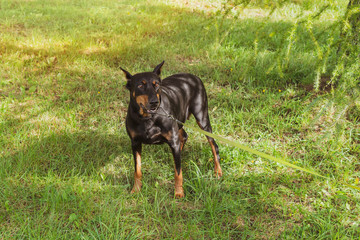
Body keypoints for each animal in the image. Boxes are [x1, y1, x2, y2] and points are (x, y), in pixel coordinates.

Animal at [121, 61, 222, 198]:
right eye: (140, 85)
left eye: (156, 85)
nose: (154, 102)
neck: (148, 118)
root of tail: (193, 76)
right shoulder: (135, 143)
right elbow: (137, 170)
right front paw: (136, 190)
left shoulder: (173, 140)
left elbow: (178, 173)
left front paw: (179, 192)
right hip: (179, 120)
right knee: (184, 136)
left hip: (202, 117)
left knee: (213, 145)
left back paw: (218, 171)